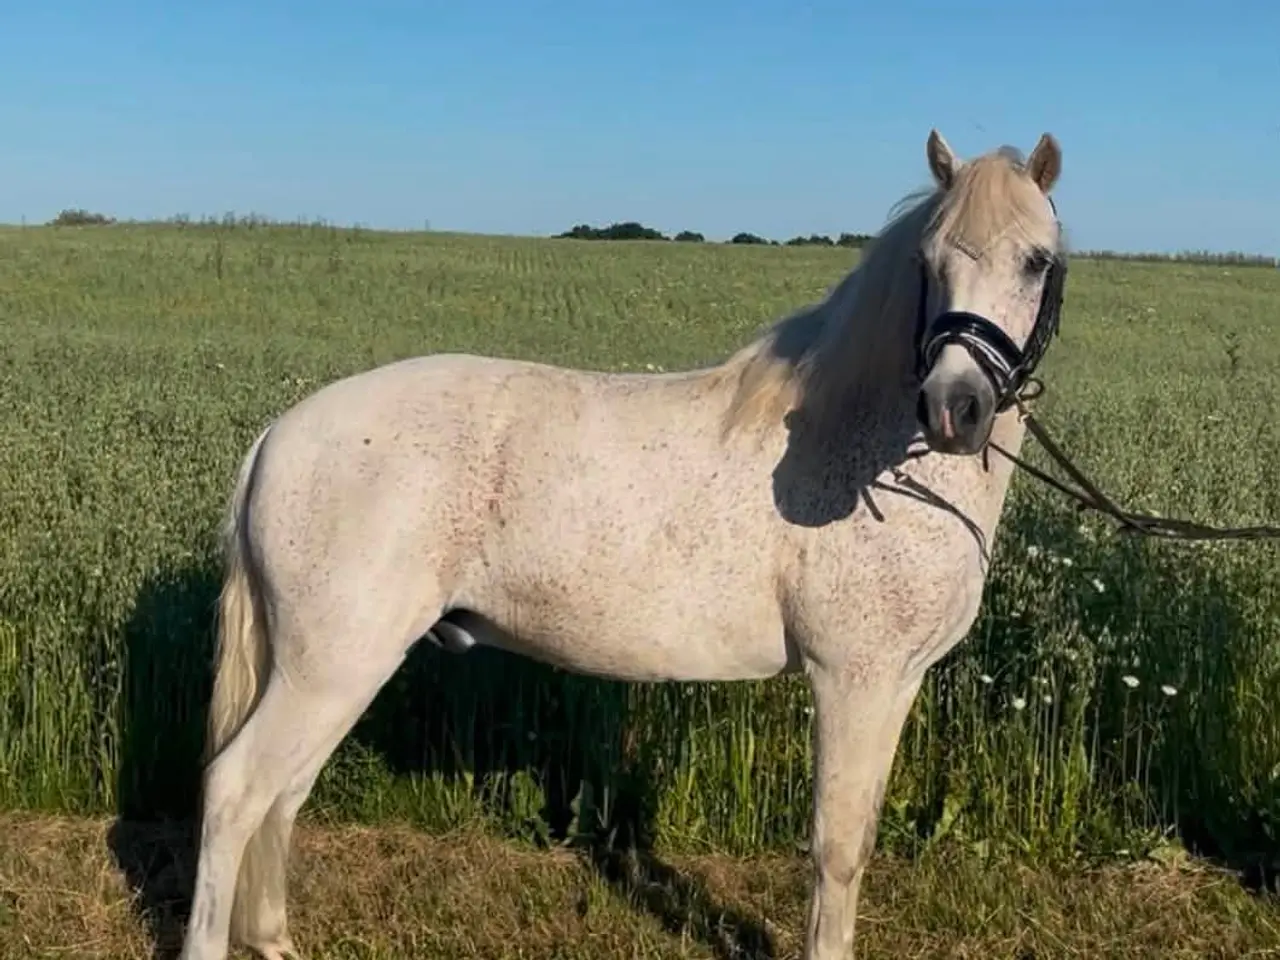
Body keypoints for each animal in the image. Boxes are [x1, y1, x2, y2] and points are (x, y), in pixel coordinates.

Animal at [177, 128, 1067, 960]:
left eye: (1036, 261)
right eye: (928, 262)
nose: (955, 408)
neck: (868, 451)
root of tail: (277, 438)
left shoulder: (893, 682)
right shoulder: (854, 678)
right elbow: (838, 848)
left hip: (328, 674)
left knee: (282, 794)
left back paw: (273, 937)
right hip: (330, 667)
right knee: (235, 790)